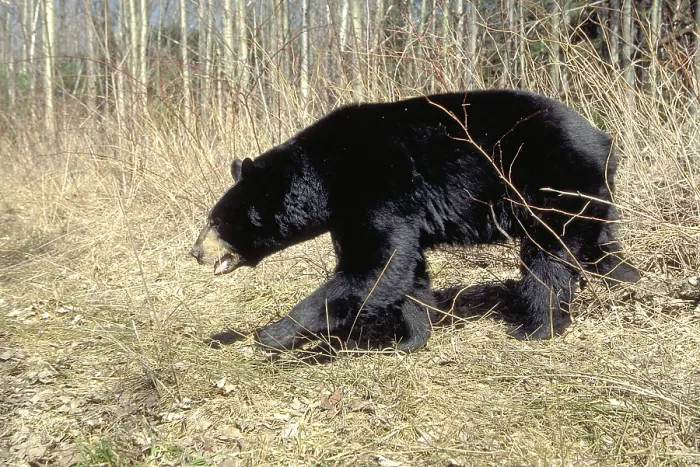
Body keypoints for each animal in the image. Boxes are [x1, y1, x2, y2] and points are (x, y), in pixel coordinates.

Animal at [189, 89, 640, 354]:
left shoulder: (373, 189)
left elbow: (374, 266)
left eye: (215, 220)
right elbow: (405, 271)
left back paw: (536, 326)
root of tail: (604, 139)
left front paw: (272, 333)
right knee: (598, 244)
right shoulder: (387, 211)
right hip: (588, 193)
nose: (194, 251)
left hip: (549, 180)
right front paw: (411, 338)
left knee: (548, 256)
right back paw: (628, 280)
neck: (322, 178)